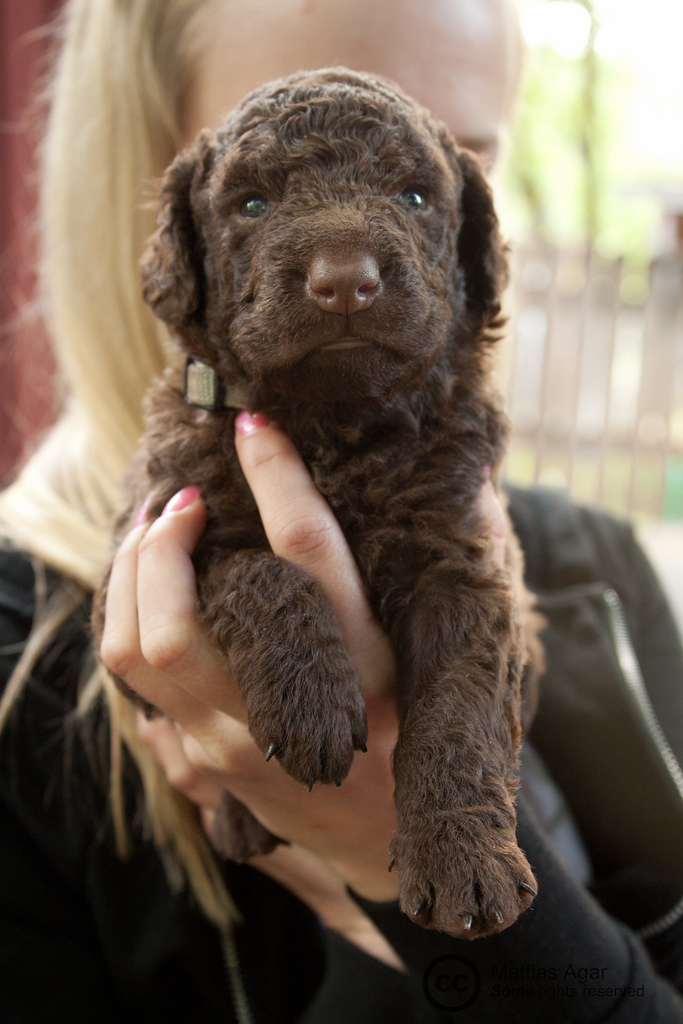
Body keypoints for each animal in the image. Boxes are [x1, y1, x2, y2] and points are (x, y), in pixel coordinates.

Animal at [94, 68, 544, 937]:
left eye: (413, 195)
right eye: (252, 205)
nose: (343, 281)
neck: (336, 429)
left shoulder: (464, 562)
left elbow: (459, 706)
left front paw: (462, 858)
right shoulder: (143, 548)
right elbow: (258, 567)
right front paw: (310, 701)